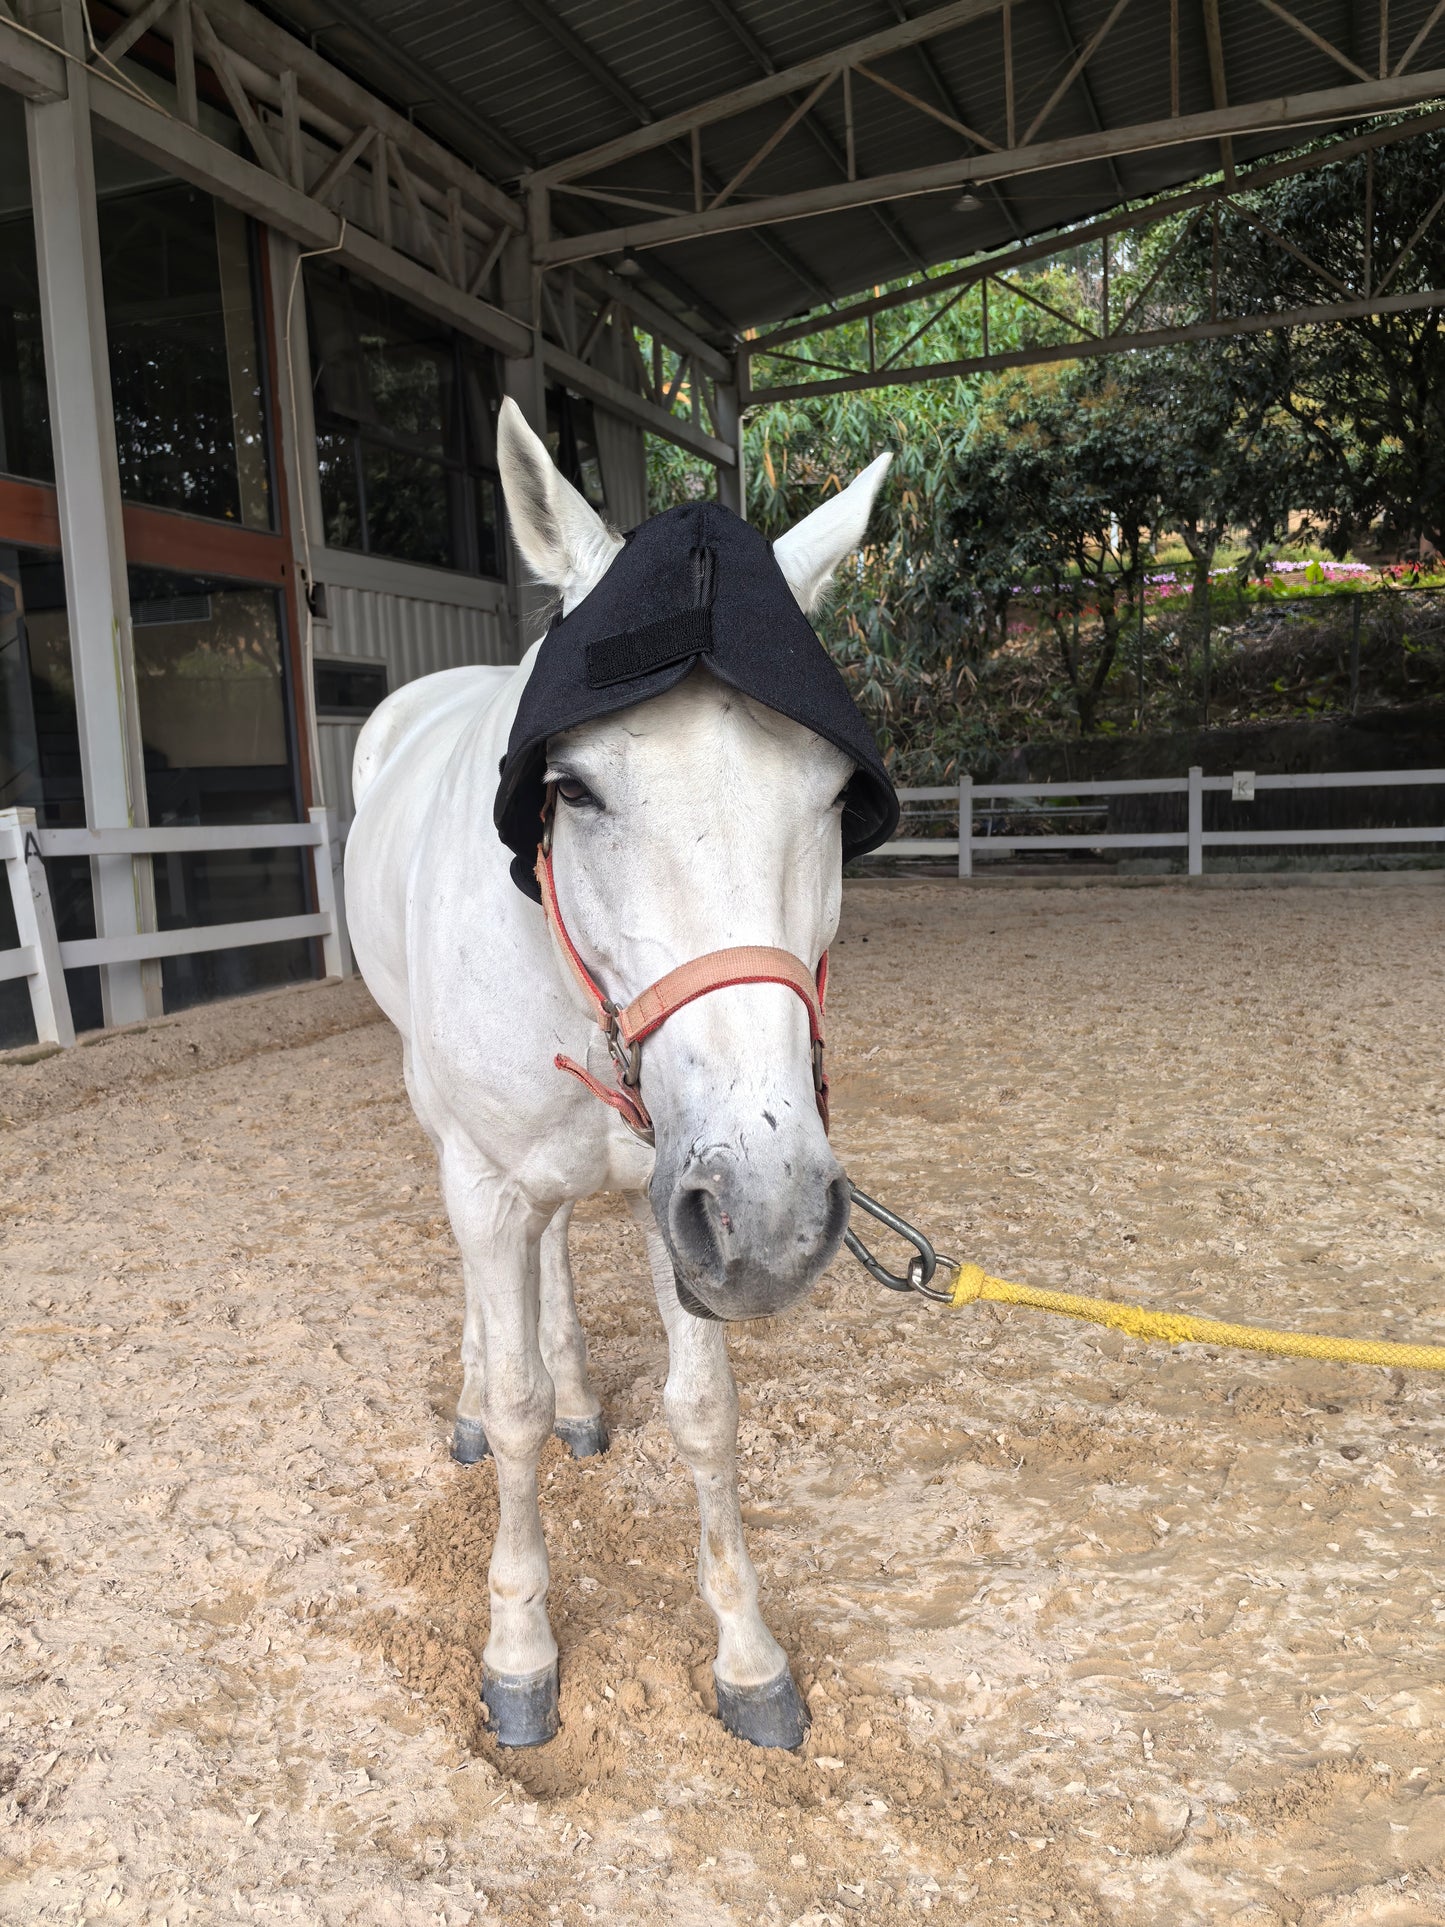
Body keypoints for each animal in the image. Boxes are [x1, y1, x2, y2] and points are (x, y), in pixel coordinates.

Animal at [344, 397, 892, 1750]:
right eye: (573, 787)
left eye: (831, 795)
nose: (778, 1217)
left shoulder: (681, 1194)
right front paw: (518, 1650)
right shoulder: (494, 1180)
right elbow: (517, 1413)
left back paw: (585, 1394)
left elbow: (704, 1416)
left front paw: (747, 1658)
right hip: (450, 1133)